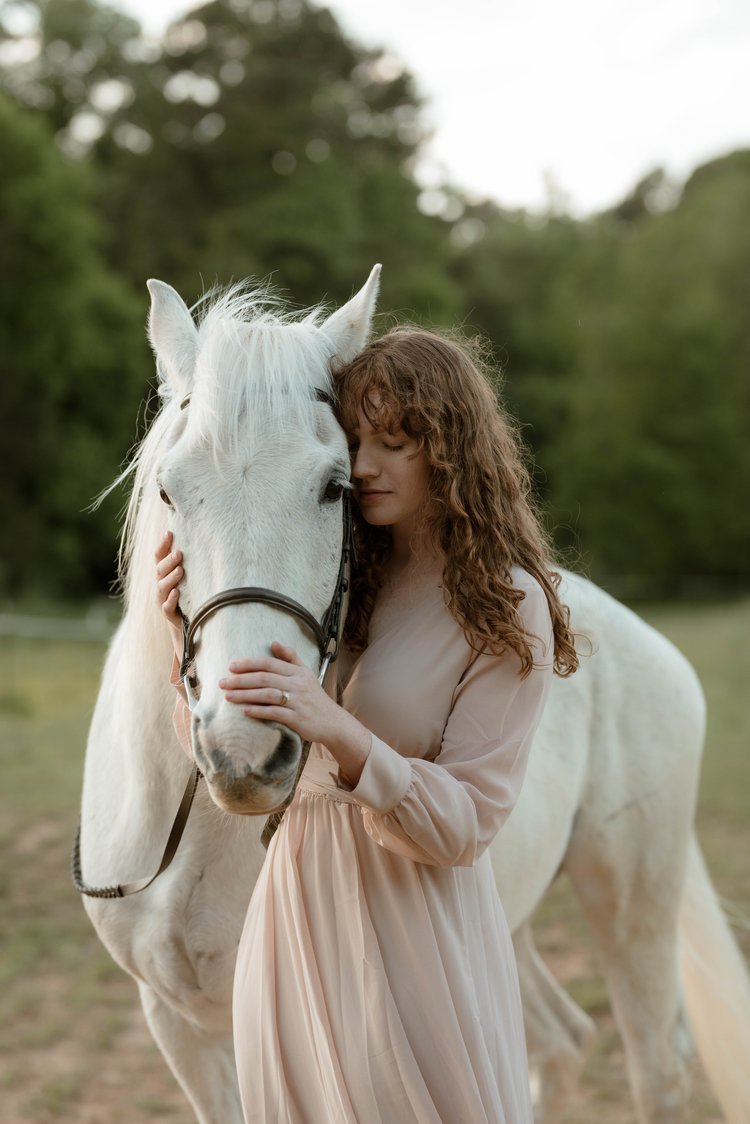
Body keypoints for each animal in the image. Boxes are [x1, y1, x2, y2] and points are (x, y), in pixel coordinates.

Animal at [77, 267, 750, 1119]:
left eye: (335, 488)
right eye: (170, 490)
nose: (245, 752)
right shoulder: (182, 1031)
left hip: (633, 908)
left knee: (655, 1065)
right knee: (562, 1041)